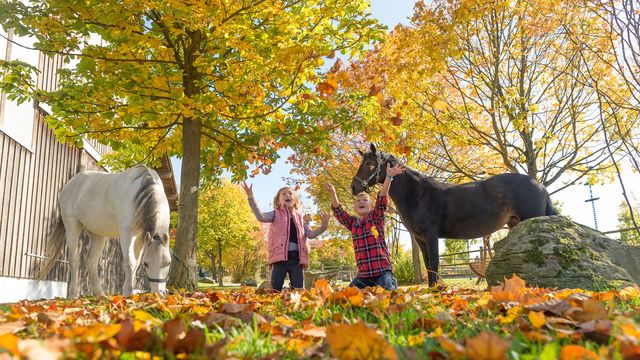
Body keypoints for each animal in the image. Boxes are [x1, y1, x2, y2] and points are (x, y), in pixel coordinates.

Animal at [38, 165, 171, 296]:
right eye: (147, 264)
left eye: (168, 263)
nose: (159, 293)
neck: (142, 192)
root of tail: (69, 184)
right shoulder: (127, 233)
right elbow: (130, 262)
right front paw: (128, 293)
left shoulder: (140, 237)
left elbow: (136, 263)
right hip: (72, 226)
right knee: (74, 260)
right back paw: (74, 295)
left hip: (97, 235)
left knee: (91, 262)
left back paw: (101, 296)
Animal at [350, 143, 556, 286]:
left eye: (370, 164)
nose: (354, 187)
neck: (418, 194)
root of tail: (539, 185)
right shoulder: (420, 239)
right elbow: (427, 264)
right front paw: (432, 288)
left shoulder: (431, 235)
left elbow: (434, 262)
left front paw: (436, 290)